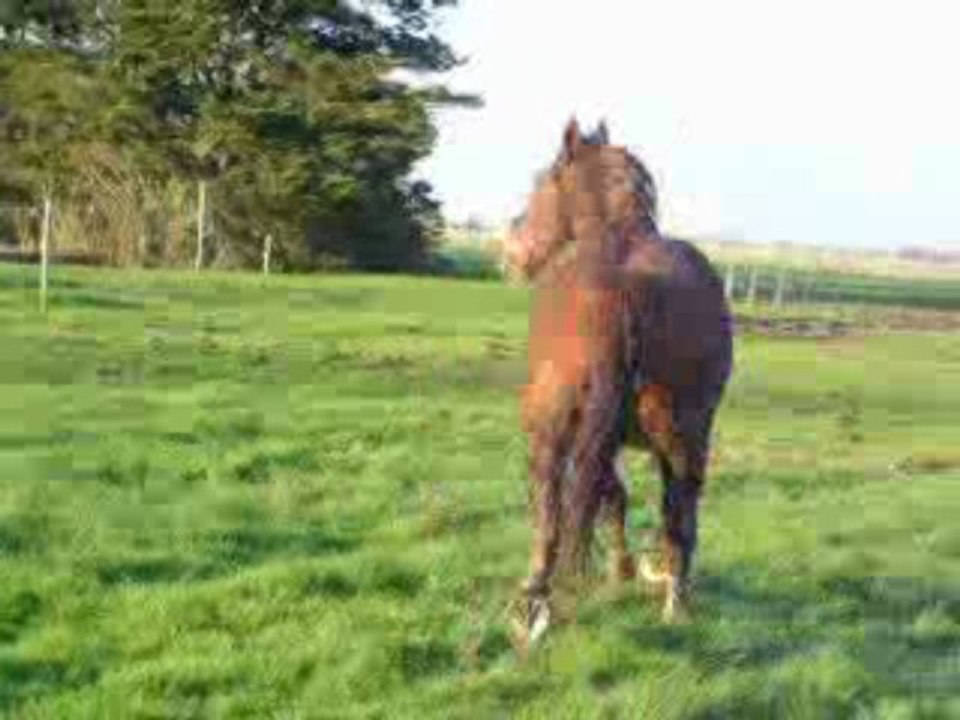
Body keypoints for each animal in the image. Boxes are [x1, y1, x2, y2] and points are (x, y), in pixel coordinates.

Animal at [503, 118, 734, 646]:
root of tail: (625, 288)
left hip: (551, 426)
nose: (512, 249)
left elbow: (599, 498)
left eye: (543, 181)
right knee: (680, 514)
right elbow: (616, 498)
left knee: (552, 510)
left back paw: (534, 600)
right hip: (684, 437)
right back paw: (675, 597)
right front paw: (625, 570)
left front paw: (616, 571)